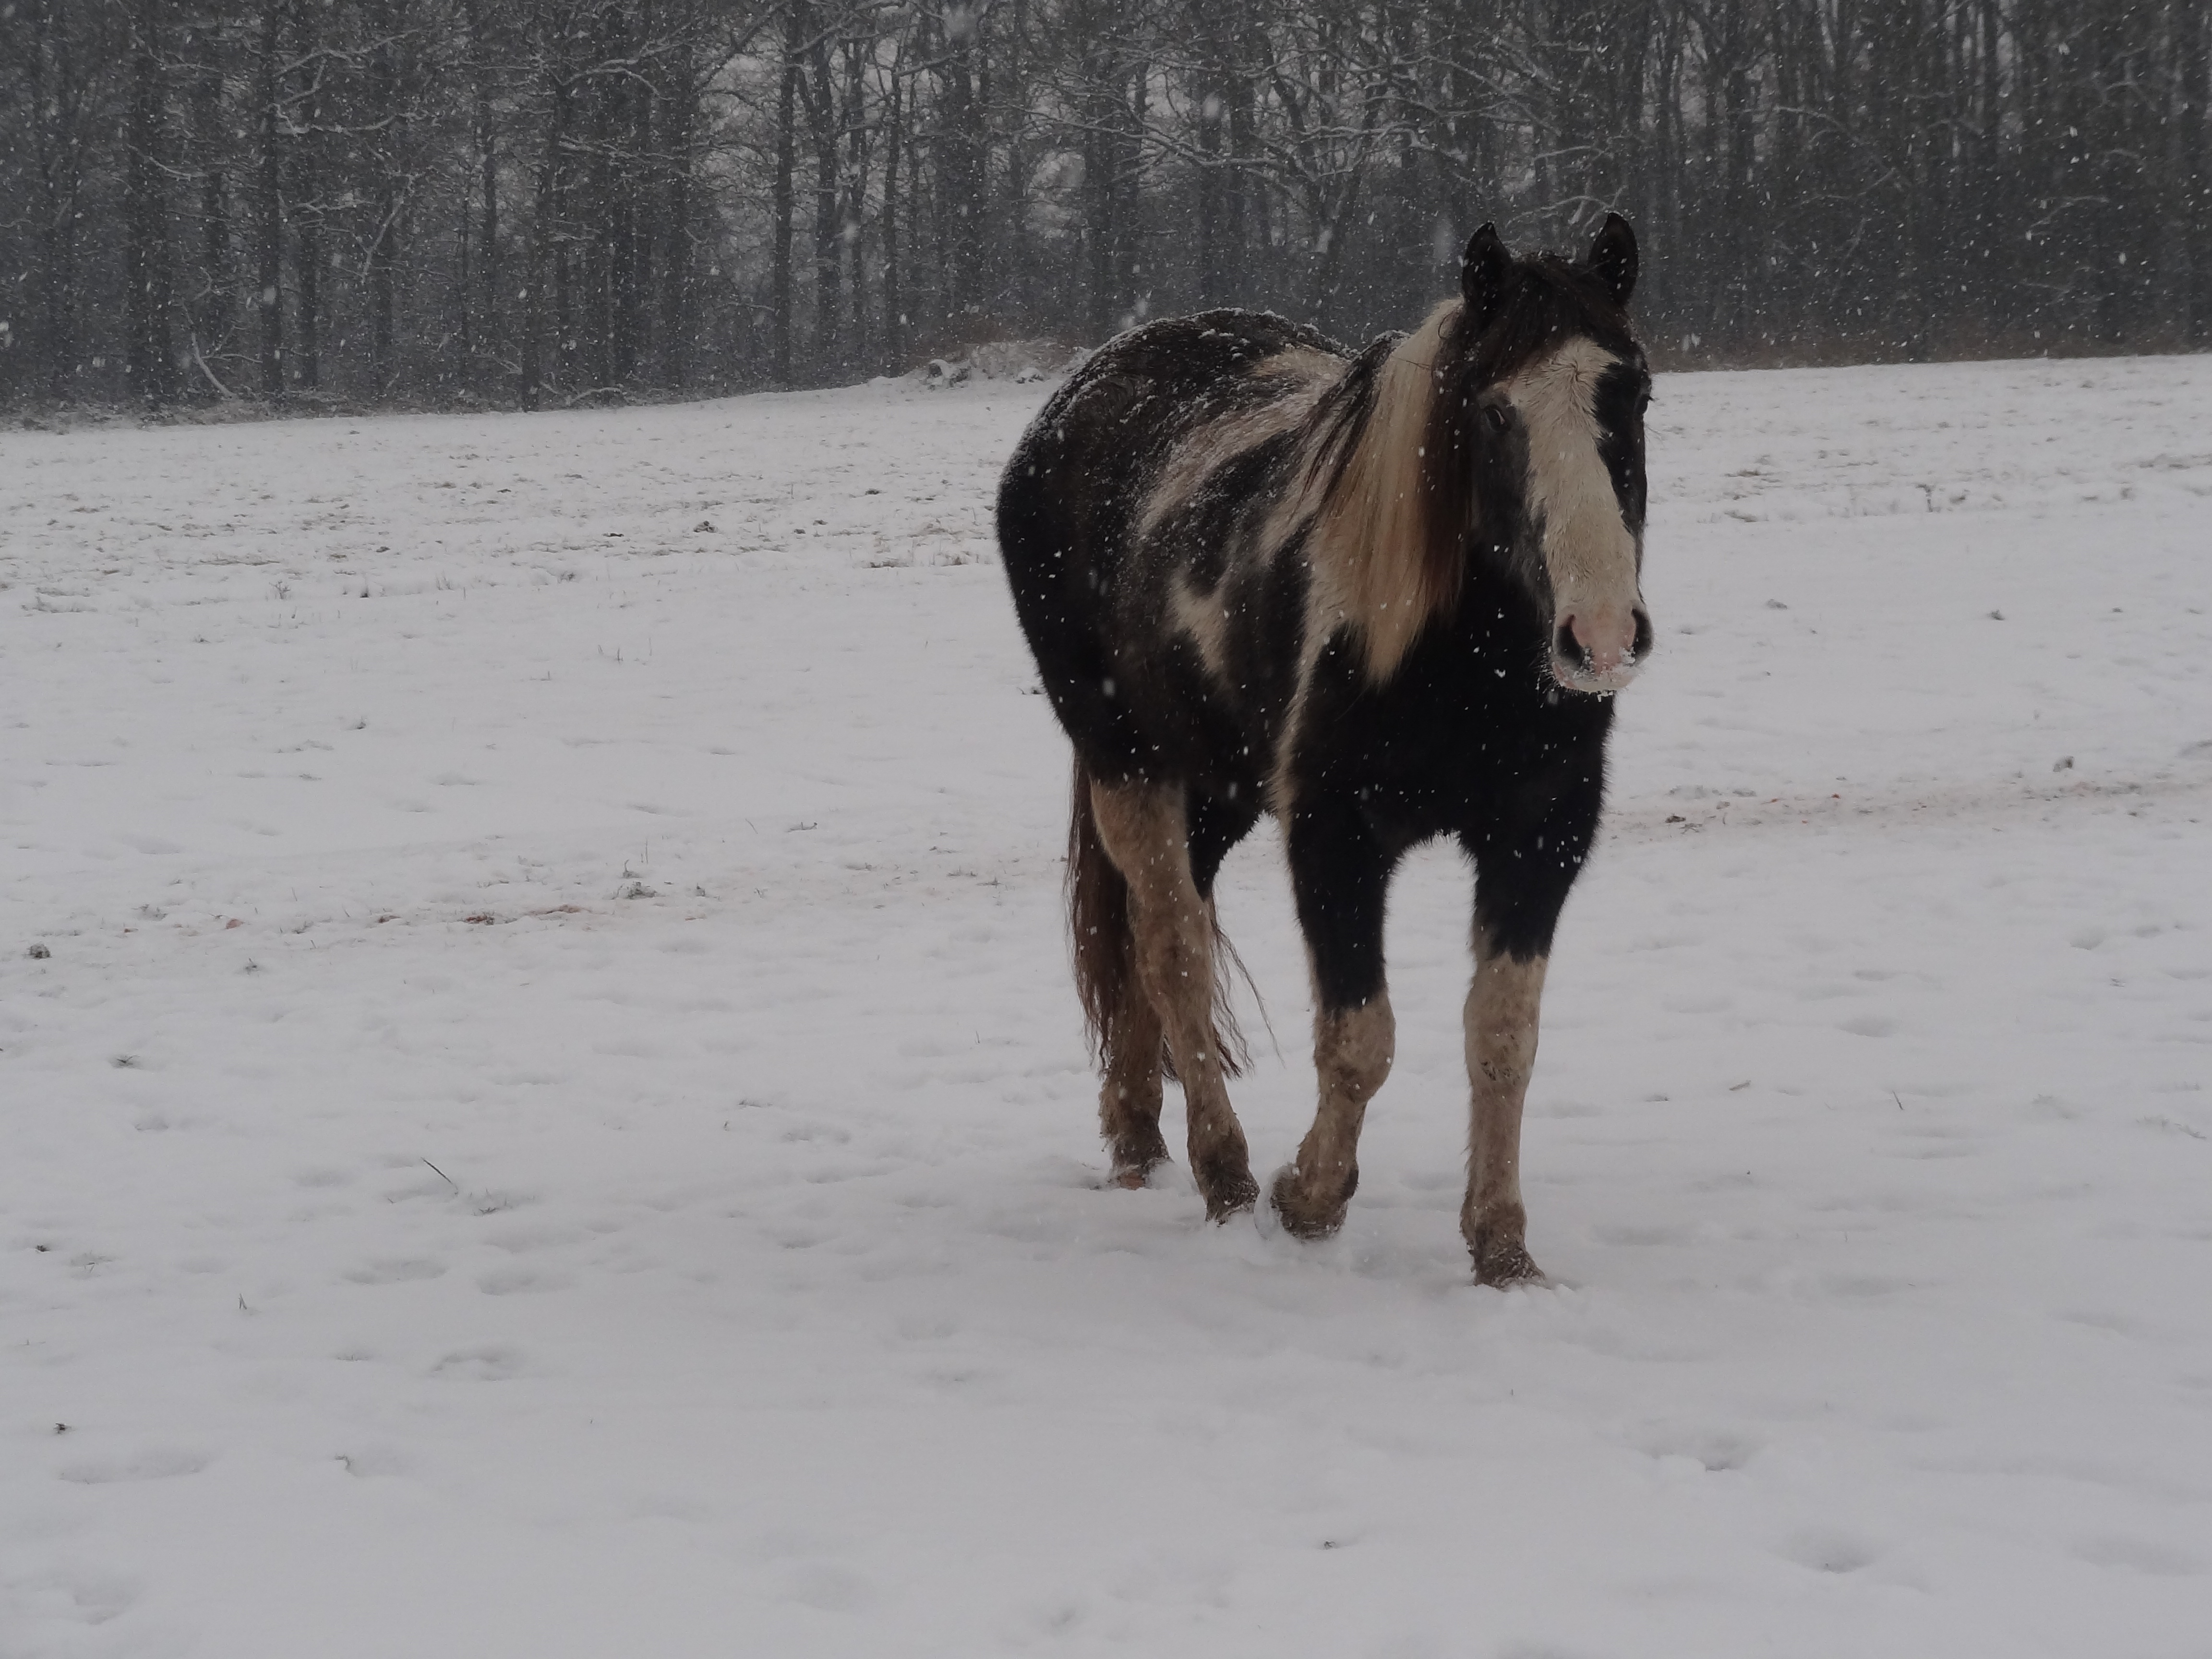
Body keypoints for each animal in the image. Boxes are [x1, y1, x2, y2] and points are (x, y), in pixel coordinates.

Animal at [995, 217, 1654, 1283]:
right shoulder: (1333, 838)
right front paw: (1307, 1199)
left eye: (1631, 392)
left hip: (1216, 791)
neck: (1459, 664)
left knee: (1142, 938)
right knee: (1174, 951)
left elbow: (1503, 1037)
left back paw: (1137, 1137)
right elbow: (1360, 1039)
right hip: (1128, 765)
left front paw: (1501, 1246)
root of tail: (1078, 397)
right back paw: (1224, 1175)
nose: (1598, 638)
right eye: (1493, 413)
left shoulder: (1538, 839)